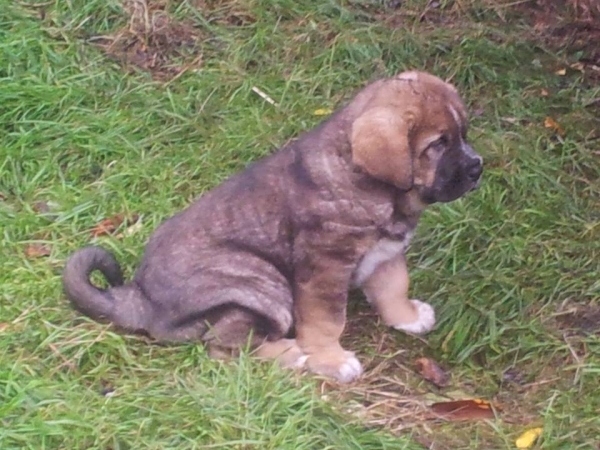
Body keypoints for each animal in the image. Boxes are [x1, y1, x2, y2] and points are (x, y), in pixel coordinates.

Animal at [62, 71, 482, 384]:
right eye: (438, 145)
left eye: (462, 135)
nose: (478, 166)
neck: (373, 186)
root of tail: (140, 300)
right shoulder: (325, 267)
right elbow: (327, 320)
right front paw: (330, 360)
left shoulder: (386, 251)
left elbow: (394, 287)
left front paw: (407, 317)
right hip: (262, 283)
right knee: (222, 346)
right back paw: (291, 353)